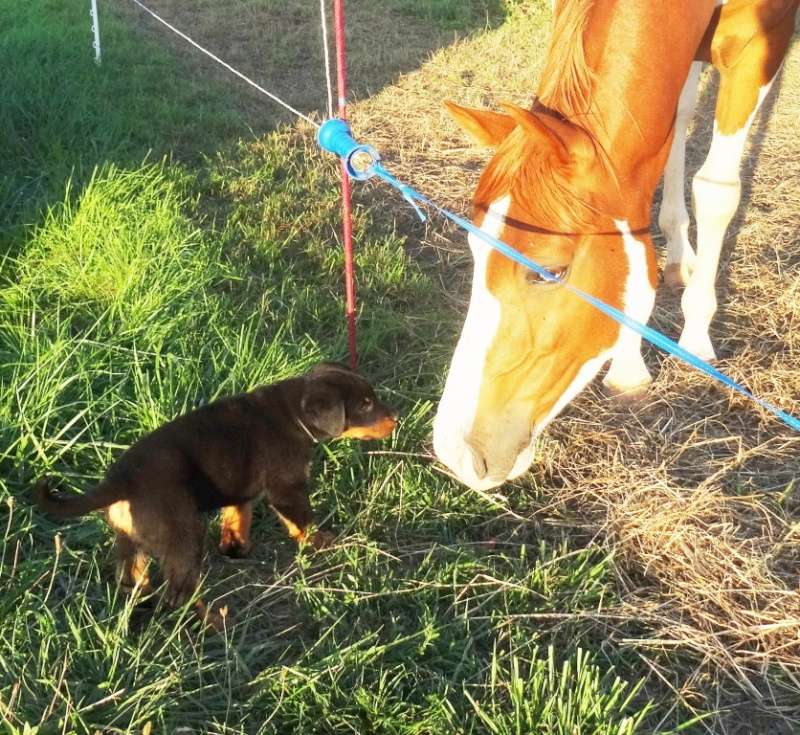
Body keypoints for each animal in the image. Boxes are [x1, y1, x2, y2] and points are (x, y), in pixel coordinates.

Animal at [36, 366, 398, 620]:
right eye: (366, 405)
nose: (396, 418)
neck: (294, 413)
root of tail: (120, 480)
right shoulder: (287, 487)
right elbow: (302, 523)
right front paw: (323, 544)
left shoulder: (240, 493)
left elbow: (237, 519)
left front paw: (236, 549)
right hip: (182, 538)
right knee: (179, 594)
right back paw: (210, 622)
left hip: (131, 539)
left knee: (132, 576)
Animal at [434, 4, 796, 494]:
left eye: (550, 272)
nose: (457, 453)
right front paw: (628, 366)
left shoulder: (760, 38)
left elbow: (716, 190)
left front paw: (696, 335)